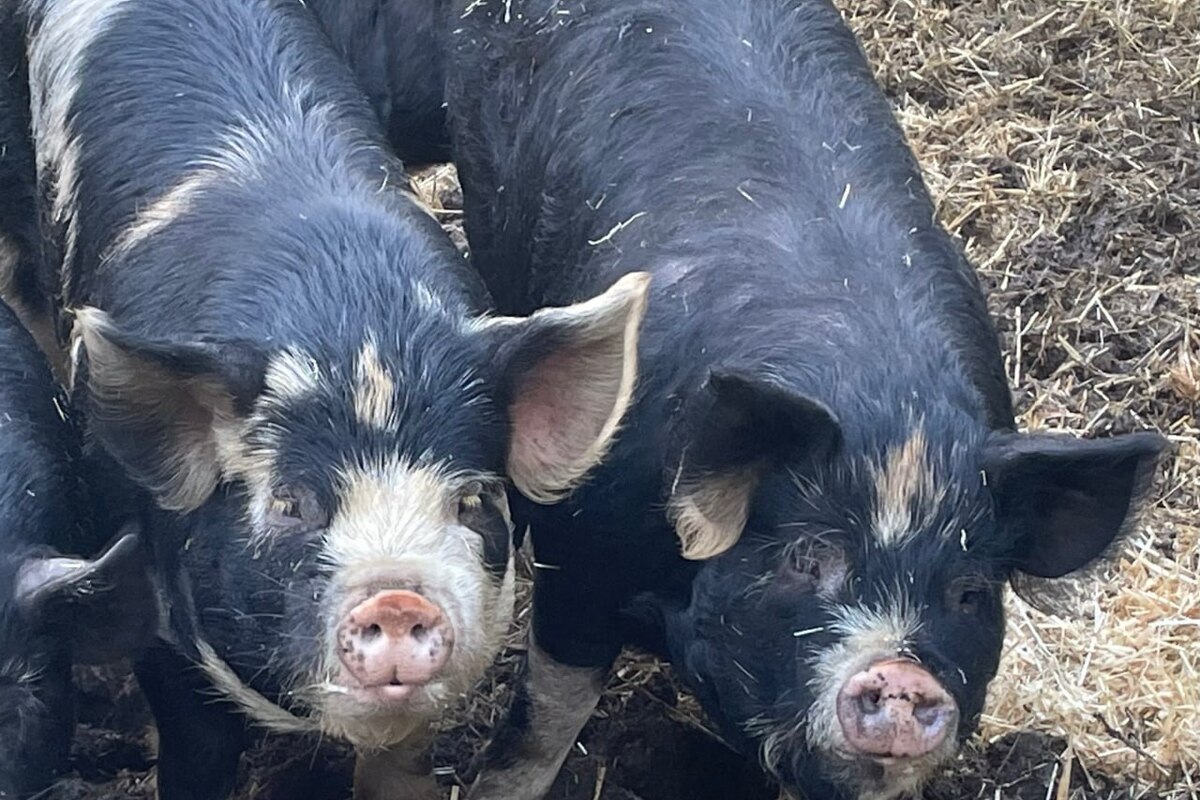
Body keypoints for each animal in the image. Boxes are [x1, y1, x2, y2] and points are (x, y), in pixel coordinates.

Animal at [20, 0, 647, 796]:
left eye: (472, 499)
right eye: (291, 503)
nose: (398, 598)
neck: (353, 322)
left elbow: (400, 756)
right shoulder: (155, 604)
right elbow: (196, 745)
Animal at [428, 0, 1166, 798]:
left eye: (969, 592)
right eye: (808, 556)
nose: (902, 675)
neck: (891, 408)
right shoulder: (582, 547)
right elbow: (547, 715)